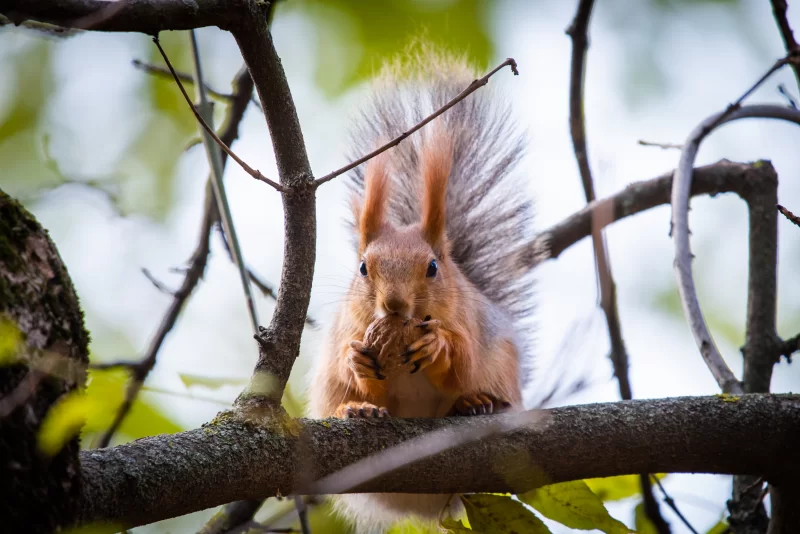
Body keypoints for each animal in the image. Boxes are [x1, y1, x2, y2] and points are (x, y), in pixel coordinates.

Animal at [308, 49, 536, 531]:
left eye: (433, 267)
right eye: (363, 268)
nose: (394, 304)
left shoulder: (469, 323)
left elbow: (462, 362)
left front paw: (438, 348)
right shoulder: (350, 328)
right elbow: (363, 371)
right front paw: (357, 364)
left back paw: (475, 403)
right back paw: (353, 410)